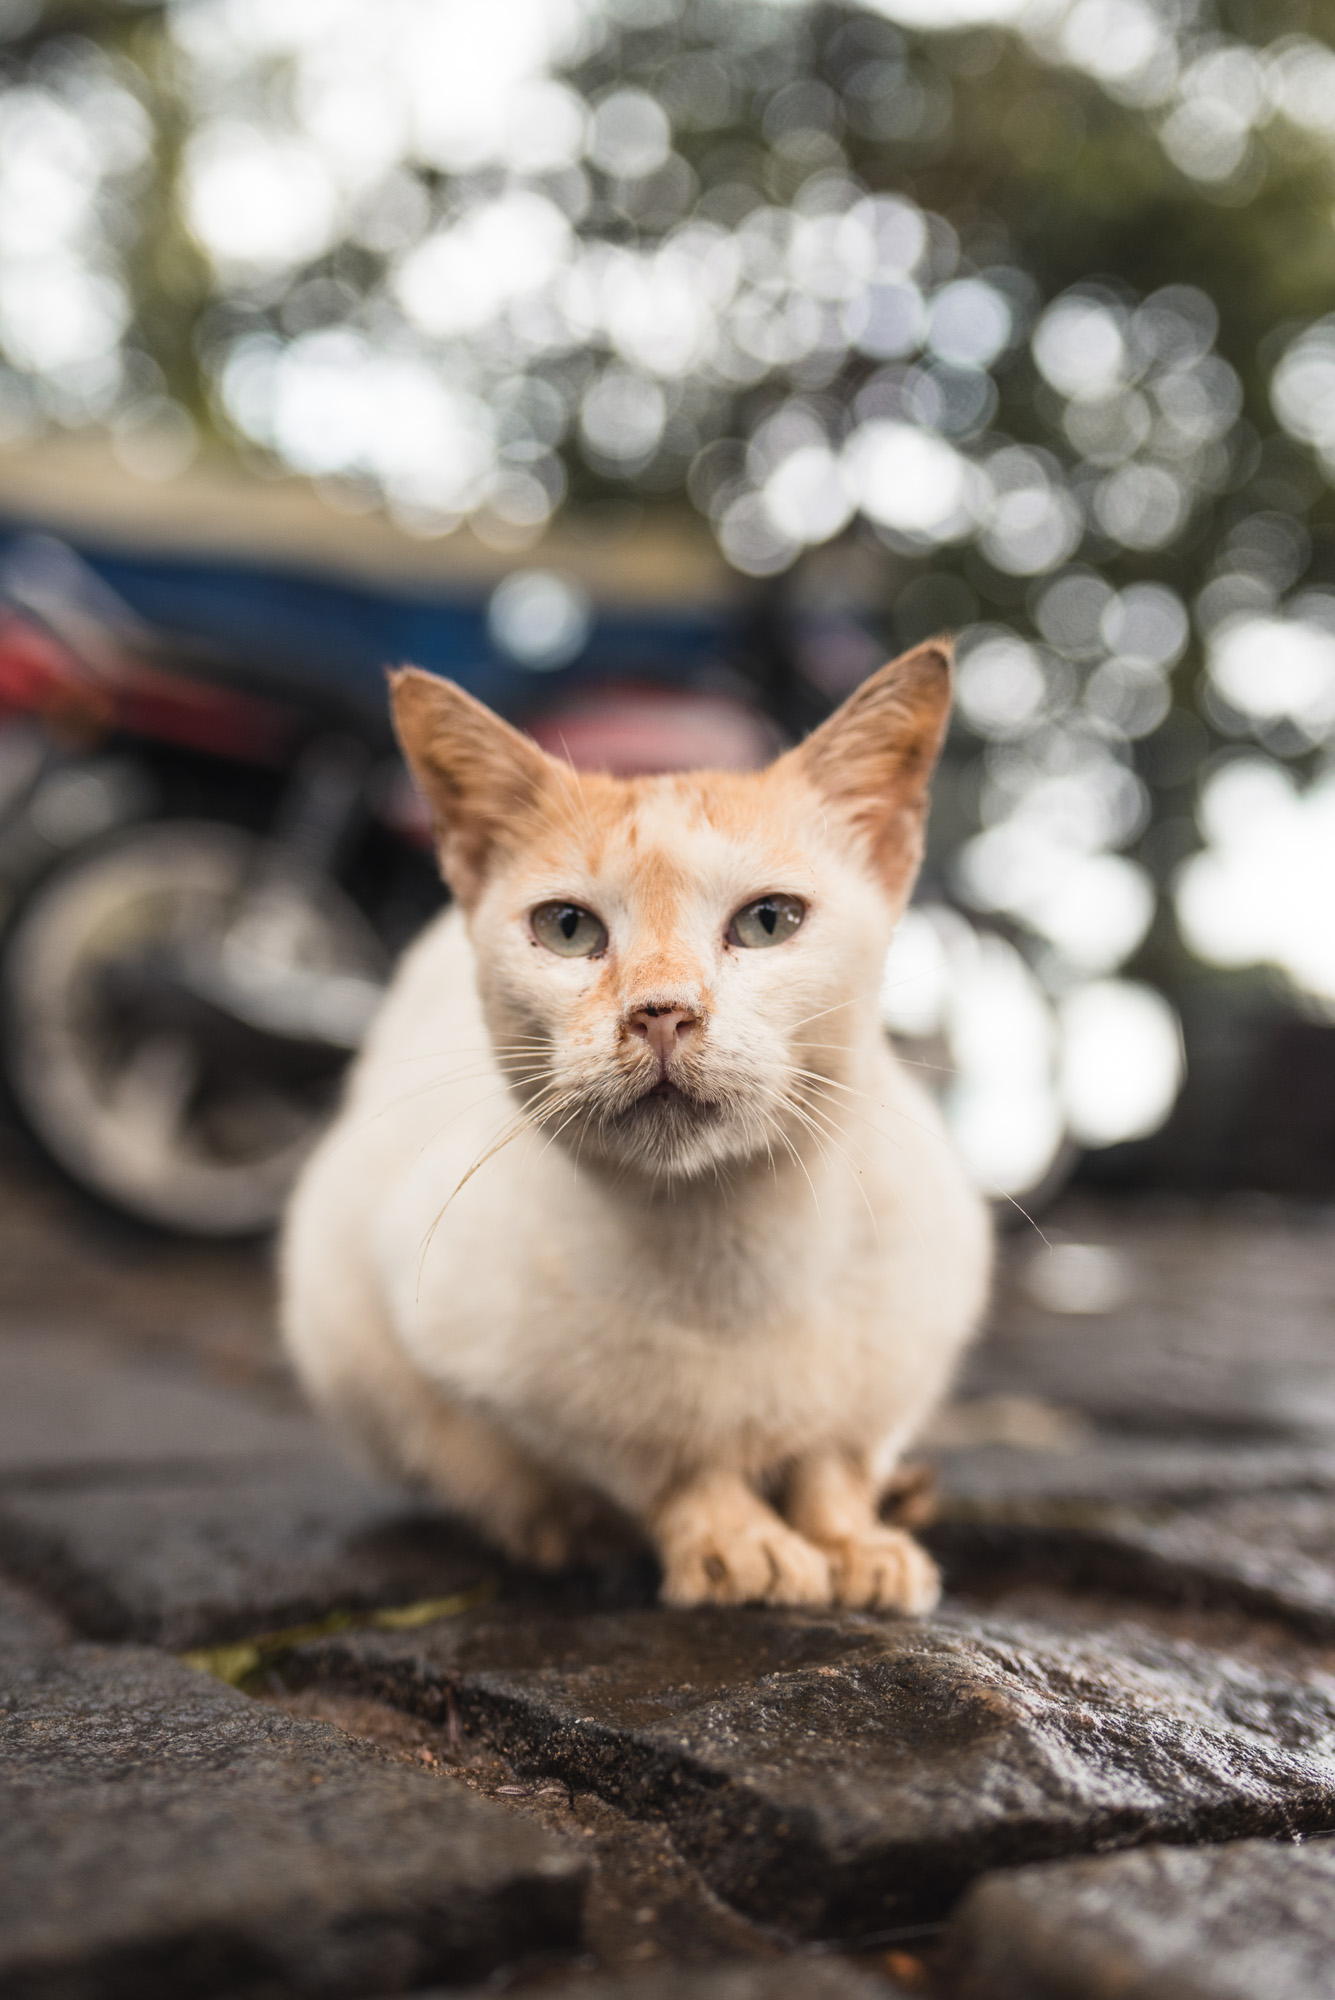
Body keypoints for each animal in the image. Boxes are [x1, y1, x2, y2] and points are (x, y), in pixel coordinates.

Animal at [281, 640, 991, 1608]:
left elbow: (833, 1456)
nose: (661, 1012)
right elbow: (663, 1457)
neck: (730, 1255)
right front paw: (735, 1540)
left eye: (767, 921)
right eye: (567, 929)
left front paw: (851, 1540)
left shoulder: (907, 1348)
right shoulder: (477, 1348)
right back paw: (558, 1530)